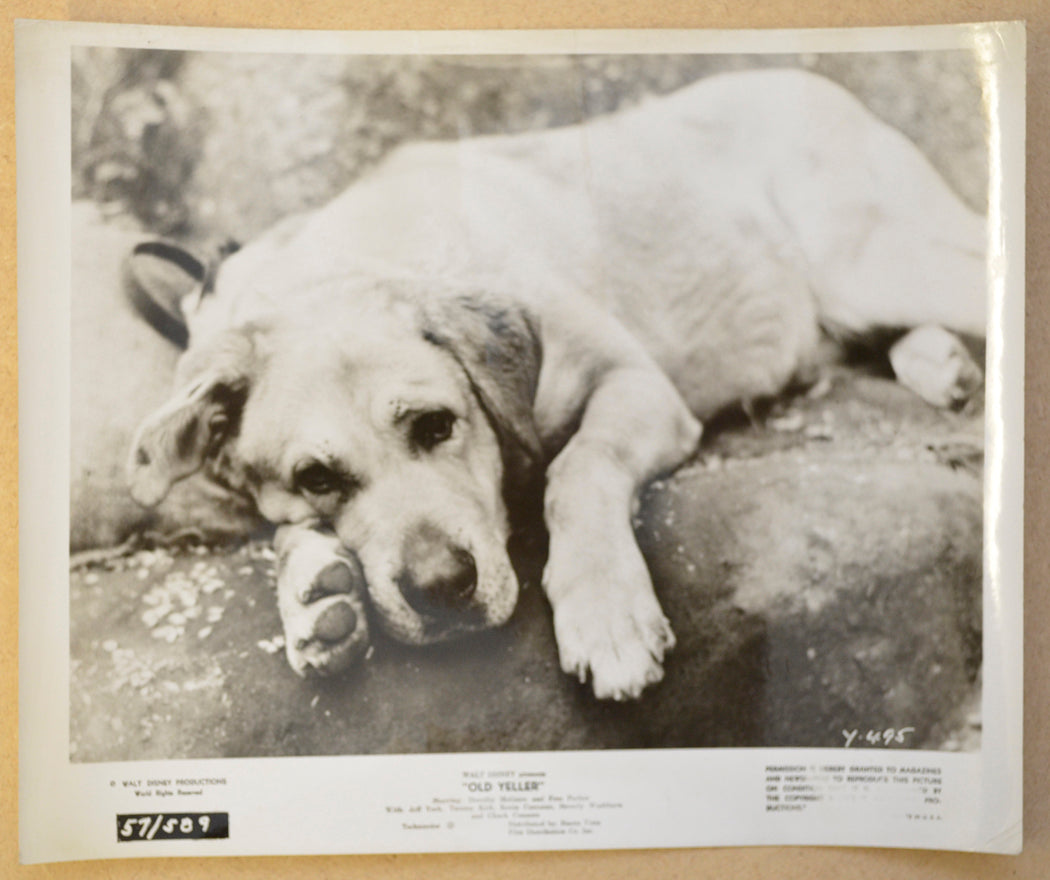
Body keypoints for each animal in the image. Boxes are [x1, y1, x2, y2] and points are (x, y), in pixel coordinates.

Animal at [127, 68, 986, 701]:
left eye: (436, 424)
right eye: (316, 477)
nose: (442, 587)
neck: (341, 263)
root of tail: (804, 78)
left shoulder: (635, 385)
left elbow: (578, 470)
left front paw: (605, 611)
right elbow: (284, 533)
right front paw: (316, 590)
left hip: (874, 262)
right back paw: (940, 364)